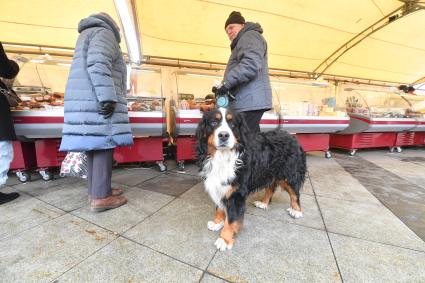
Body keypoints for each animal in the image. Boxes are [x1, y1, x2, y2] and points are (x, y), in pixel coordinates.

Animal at [194, 107, 306, 252]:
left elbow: (232, 219)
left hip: (288, 174)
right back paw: (264, 203)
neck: (223, 157)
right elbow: (220, 207)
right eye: (213, 122)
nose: (223, 135)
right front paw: (217, 222)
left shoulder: (236, 193)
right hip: (269, 173)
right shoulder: (222, 186)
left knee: (294, 193)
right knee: (271, 187)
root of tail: (289, 135)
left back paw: (296, 210)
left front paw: (225, 239)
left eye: (233, 124)